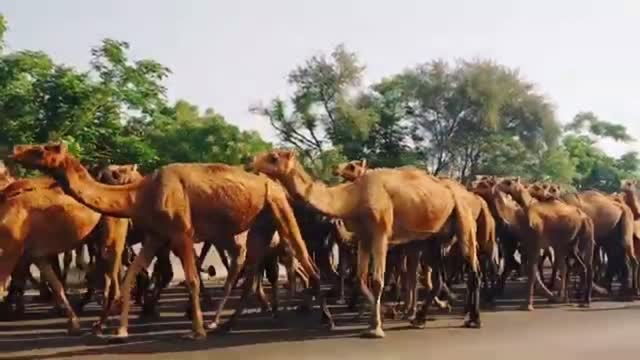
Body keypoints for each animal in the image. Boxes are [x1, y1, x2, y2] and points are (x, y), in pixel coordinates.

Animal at [12, 142, 328, 338]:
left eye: (41, 149)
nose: (17, 149)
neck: (140, 194)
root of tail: (272, 184)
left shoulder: (181, 233)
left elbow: (191, 279)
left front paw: (196, 331)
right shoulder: (156, 236)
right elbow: (130, 276)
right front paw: (120, 331)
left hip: (277, 207)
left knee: (301, 257)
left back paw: (320, 316)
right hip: (257, 223)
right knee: (252, 264)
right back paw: (228, 321)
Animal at [250, 148, 480, 338]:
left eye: (273, 157)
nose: (252, 161)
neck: (353, 196)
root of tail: (464, 191)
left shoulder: (380, 232)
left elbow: (377, 279)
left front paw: (375, 328)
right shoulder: (364, 237)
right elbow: (361, 279)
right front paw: (384, 313)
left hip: (464, 217)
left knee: (472, 268)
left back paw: (473, 319)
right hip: (432, 237)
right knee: (437, 276)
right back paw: (421, 318)